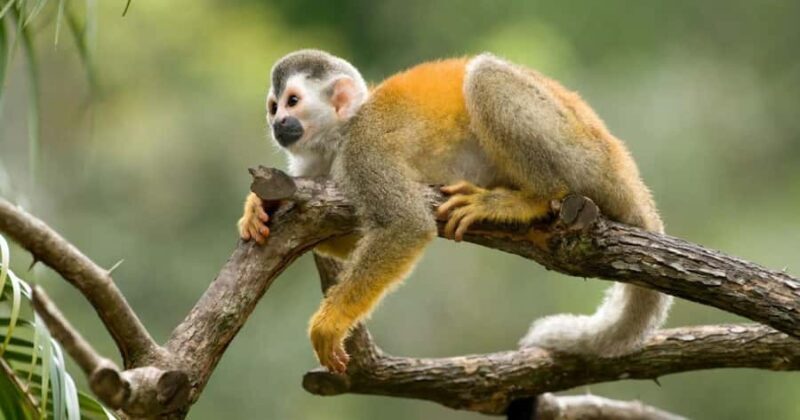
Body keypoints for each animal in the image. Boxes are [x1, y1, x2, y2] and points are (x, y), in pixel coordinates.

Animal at [238, 49, 673, 374]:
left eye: (293, 102)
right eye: (273, 107)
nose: (278, 123)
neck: (340, 136)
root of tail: (623, 166)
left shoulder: (364, 151)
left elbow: (406, 226)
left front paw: (330, 323)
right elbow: (350, 235)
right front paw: (259, 207)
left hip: (582, 153)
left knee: (485, 77)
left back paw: (531, 198)